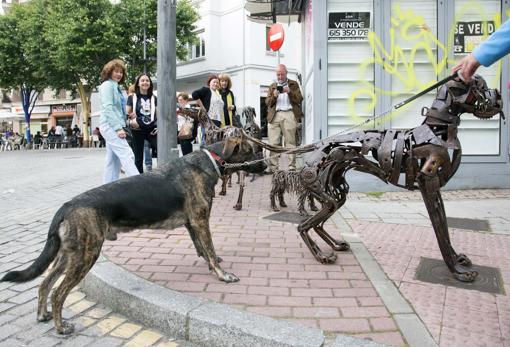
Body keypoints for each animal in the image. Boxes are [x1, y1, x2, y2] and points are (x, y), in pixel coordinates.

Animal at [0, 128, 266, 338]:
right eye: (253, 150)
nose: (267, 166)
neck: (212, 159)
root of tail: (66, 206)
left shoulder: (193, 223)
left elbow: (203, 249)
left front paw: (212, 264)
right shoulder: (200, 221)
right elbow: (209, 248)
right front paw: (222, 274)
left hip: (69, 253)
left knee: (45, 283)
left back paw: (43, 314)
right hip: (85, 255)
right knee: (58, 292)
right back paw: (60, 327)